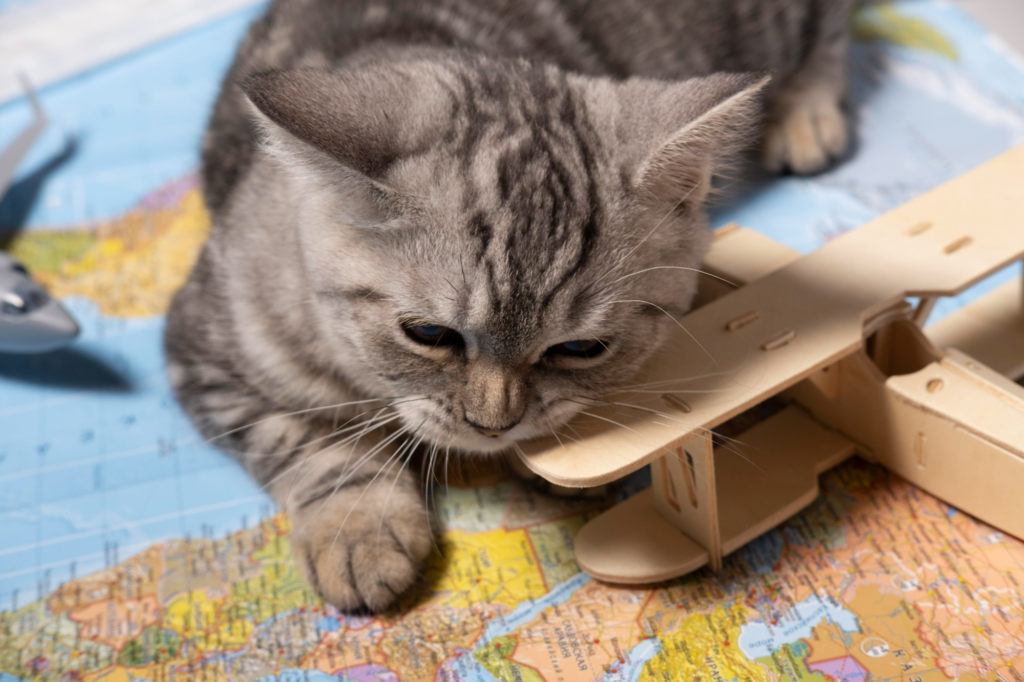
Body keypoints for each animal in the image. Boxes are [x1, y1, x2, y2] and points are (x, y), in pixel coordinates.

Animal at [165, 0, 856, 610]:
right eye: (428, 334)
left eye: (580, 347)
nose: (493, 426)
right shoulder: (202, 351)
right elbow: (307, 440)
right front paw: (357, 528)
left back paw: (807, 116)